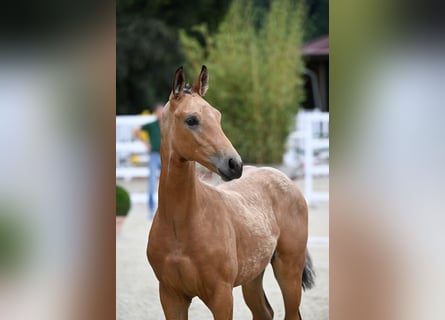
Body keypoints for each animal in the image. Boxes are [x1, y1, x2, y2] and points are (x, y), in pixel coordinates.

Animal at [146, 65, 312, 320]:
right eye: (191, 120)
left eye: (218, 116)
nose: (234, 164)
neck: (180, 224)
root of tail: (285, 179)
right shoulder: (171, 296)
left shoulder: (221, 296)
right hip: (253, 277)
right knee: (264, 312)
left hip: (289, 271)